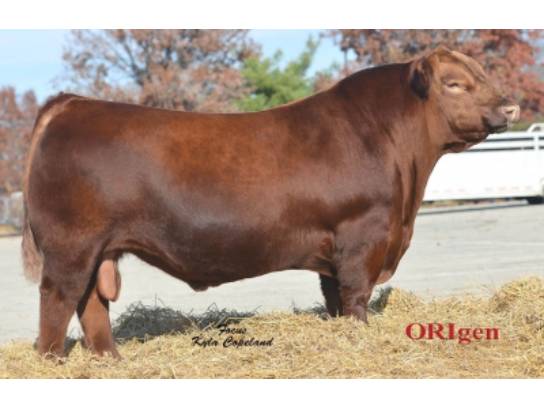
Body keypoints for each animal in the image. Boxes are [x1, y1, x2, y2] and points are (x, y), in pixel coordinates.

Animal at [22, 47, 520, 359]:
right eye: (454, 84)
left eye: (482, 76)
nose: (511, 106)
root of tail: (72, 104)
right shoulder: (363, 235)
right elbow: (355, 297)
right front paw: (359, 338)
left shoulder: (335, 250)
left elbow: (334, 299)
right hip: (70, 247)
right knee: (57, 302)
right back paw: (53, 363)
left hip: (97, 251)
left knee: (91, 305)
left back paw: (110, 360)